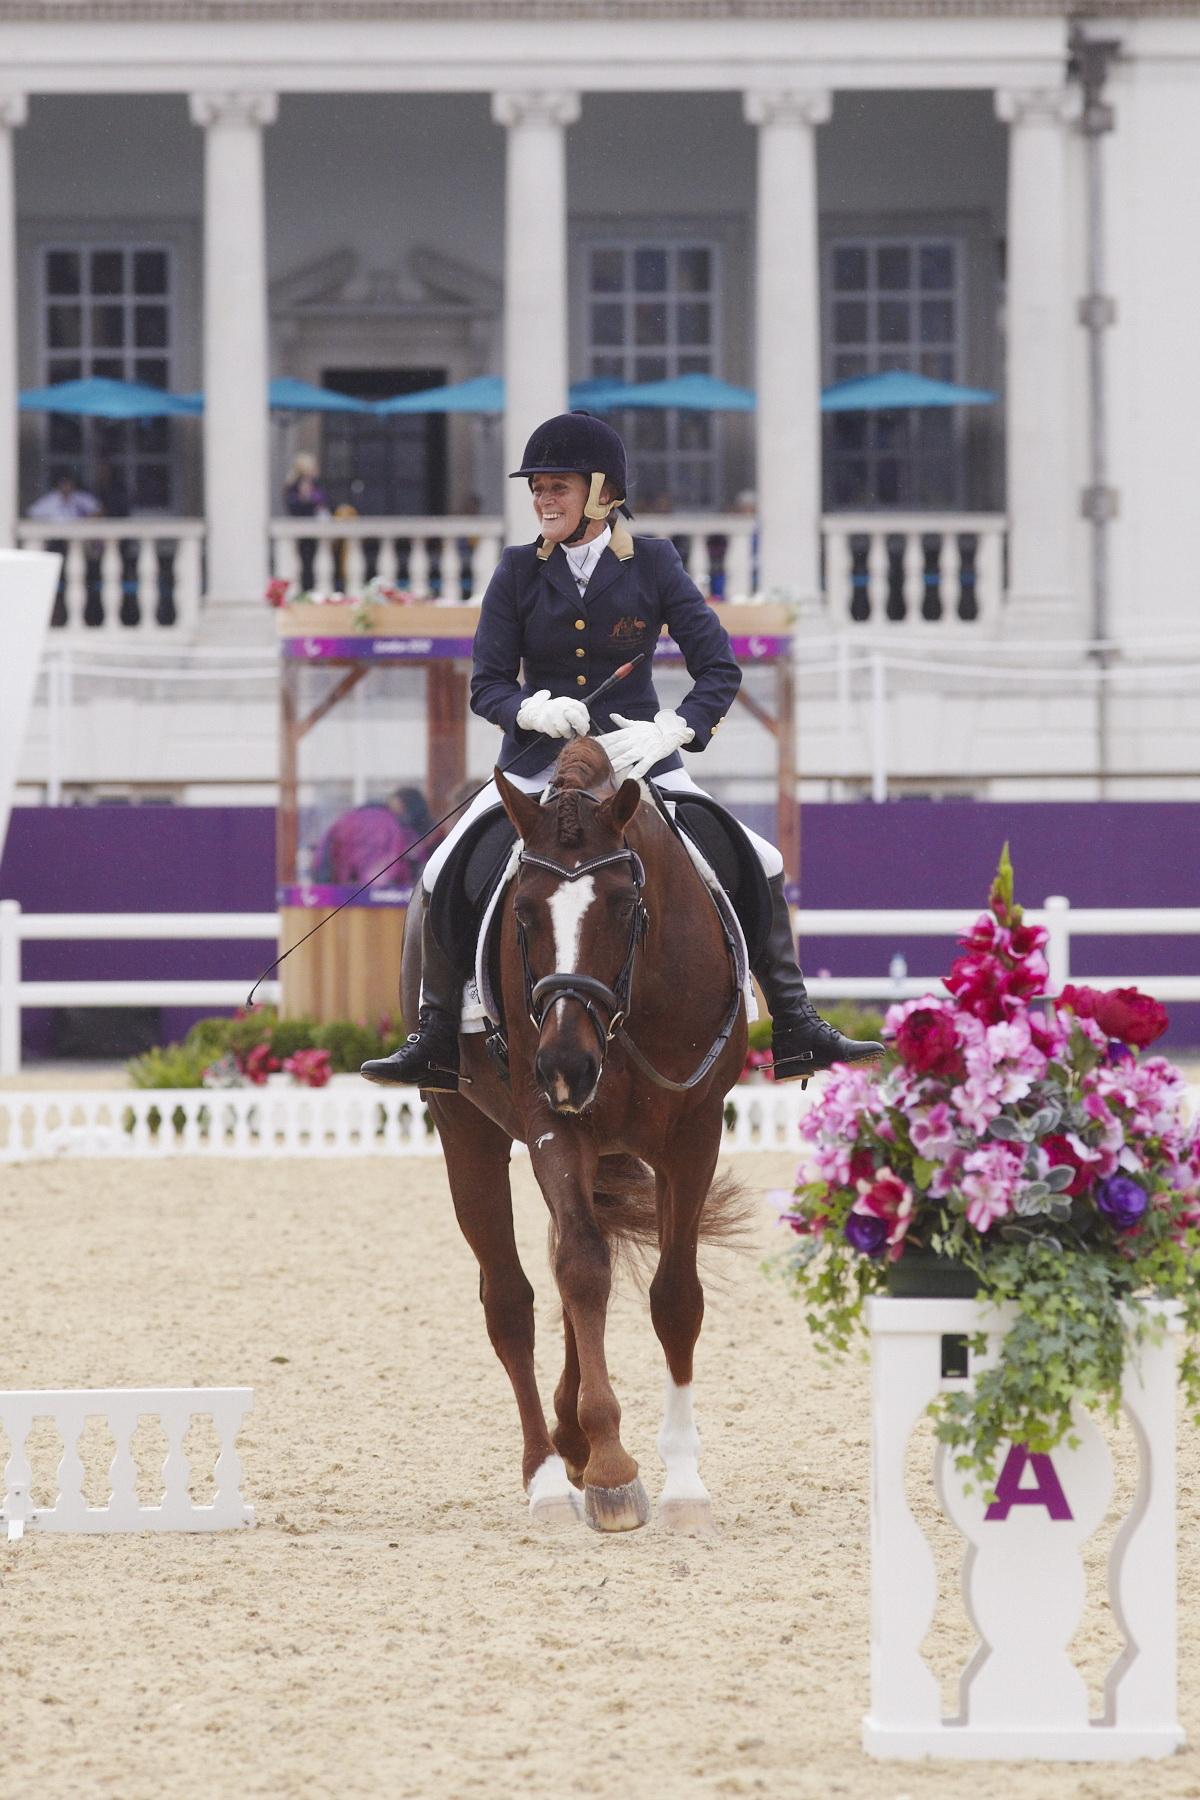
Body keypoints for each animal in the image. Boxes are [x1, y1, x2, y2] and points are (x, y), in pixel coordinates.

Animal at [413, 734, 752, 1533]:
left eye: (627, 907)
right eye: (524, 915)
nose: (565, 1066)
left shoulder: (694, 1134)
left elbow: (674, 1296)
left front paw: (681, 1482)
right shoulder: (552, 1127)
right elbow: (581, 1269)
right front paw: (612, 1470)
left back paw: (570, 1440)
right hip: (465, 1130)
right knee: (512, 1300)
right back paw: (547, 1475)